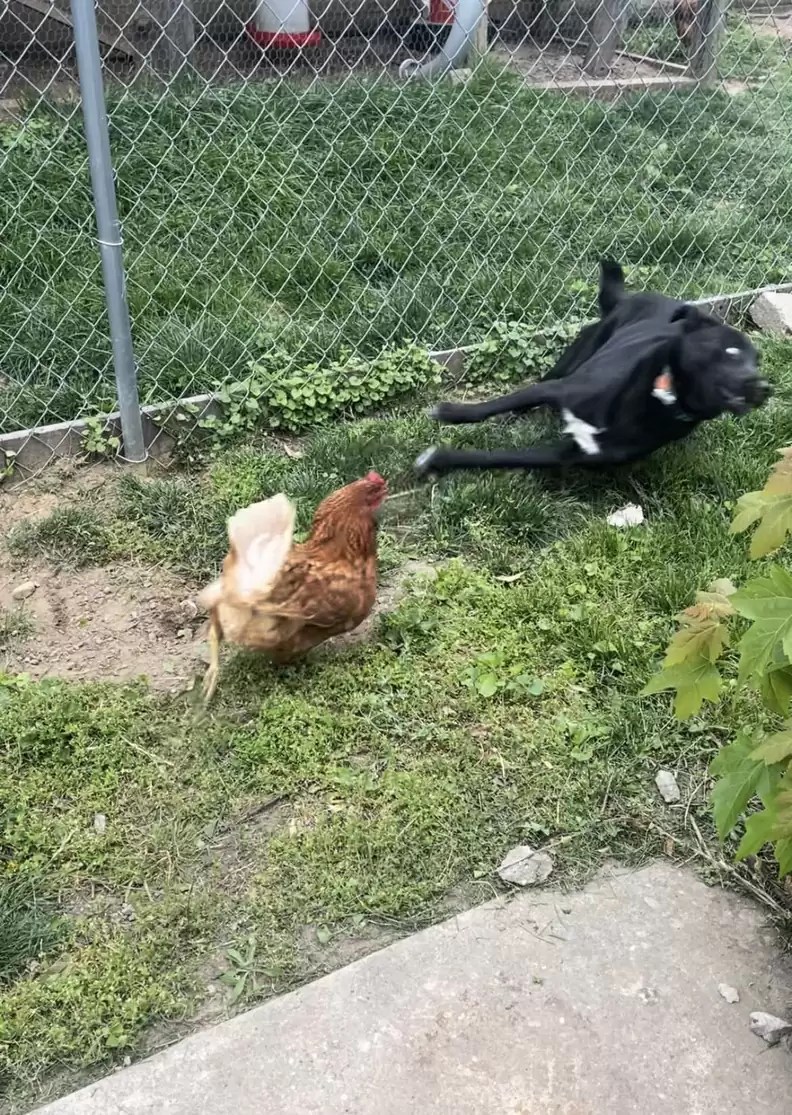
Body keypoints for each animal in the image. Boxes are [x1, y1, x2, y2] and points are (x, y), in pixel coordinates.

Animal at [414, 263, 767, 481]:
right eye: (731, 352)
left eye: (757, 360)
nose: (764, 388)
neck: (662, 397)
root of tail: (629, 297)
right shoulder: (558, 389)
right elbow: (492, 405)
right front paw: (449, 412)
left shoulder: (567, 454)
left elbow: (499, 458)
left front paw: (440, 460)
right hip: (573, 358)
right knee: (532, 389)